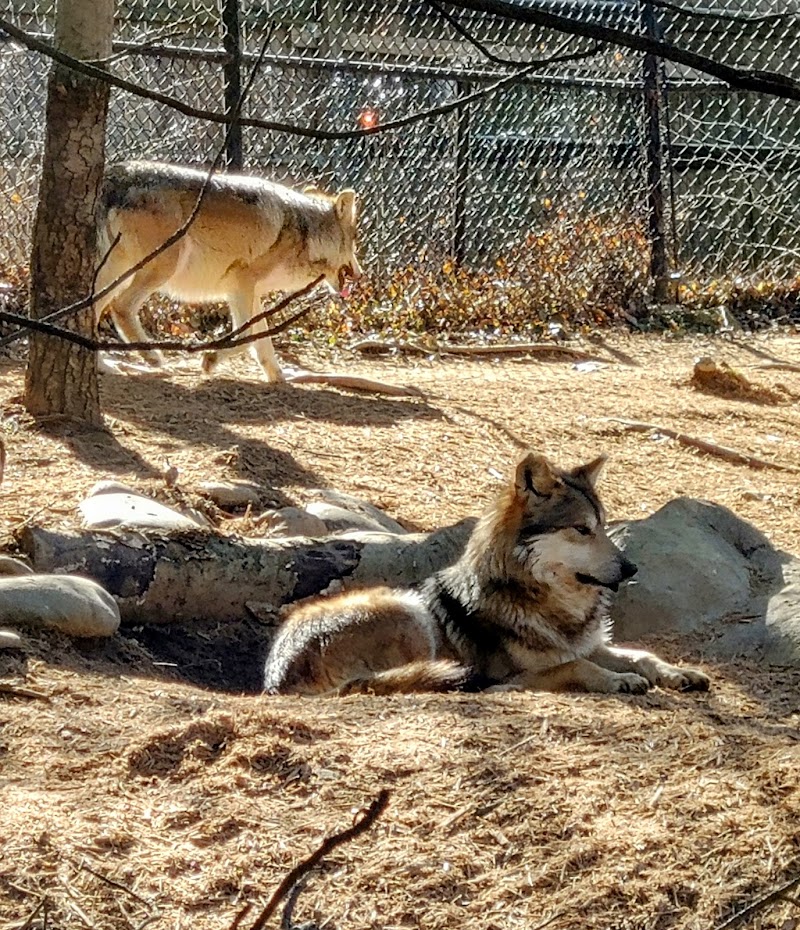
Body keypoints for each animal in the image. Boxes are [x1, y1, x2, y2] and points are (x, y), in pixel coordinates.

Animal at [93, 161, 362, 381]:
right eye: (354, 240)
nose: (360, 275)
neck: (304, 232)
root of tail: (114, 175)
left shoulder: (249, 293)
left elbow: (262, 341)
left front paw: (279, 378)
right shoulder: (241, 284)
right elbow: (245, 337)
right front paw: (210, 360)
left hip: (116, 275)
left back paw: (105, 366)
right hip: (160, 269)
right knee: (120, 307)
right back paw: (150, 358)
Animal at [263, 452, 710, 696]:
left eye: (603, 526)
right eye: (582, 530)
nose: (631, 568)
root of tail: (275, 678)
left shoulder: (584, 645)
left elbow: (642, 655)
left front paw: (678, 672)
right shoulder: (535, 667)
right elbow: (578, 668)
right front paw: (620, 680)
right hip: (409, 610)